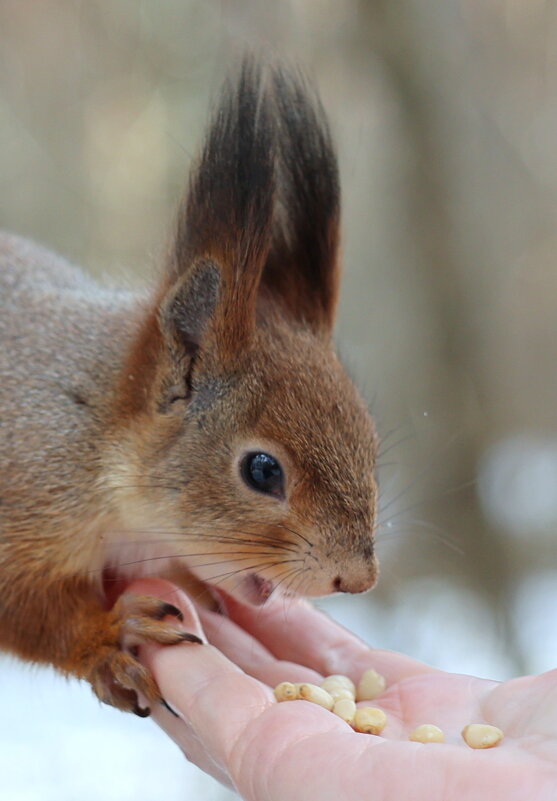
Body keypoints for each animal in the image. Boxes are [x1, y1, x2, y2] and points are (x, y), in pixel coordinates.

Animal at [0, 59, 378, 716]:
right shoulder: (24, 502)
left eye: (372, 438)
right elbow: (28, 613)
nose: (356, 579)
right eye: (262, 471)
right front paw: (112, 630)